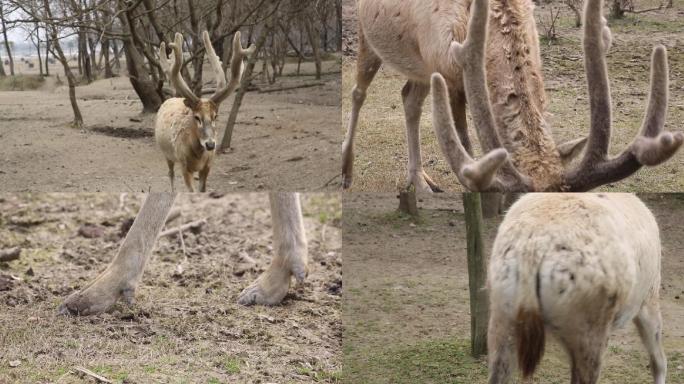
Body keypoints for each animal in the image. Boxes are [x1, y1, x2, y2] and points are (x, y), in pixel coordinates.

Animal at [156, 30, 256, 192]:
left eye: (215, 116)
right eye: (196, 117)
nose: (210, 145)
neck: (198, 157)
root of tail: (171, 98)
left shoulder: (208, 165)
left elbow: (202, 190)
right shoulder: (184, 166)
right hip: (167, 154)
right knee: (170, 173)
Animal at [344, 0, 680, 194]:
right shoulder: (448, 68)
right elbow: (466, 145)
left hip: (421, 69)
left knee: (409, 99)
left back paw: (420, 180)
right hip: (368, 37)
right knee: (358, 92)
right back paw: (347, 171)